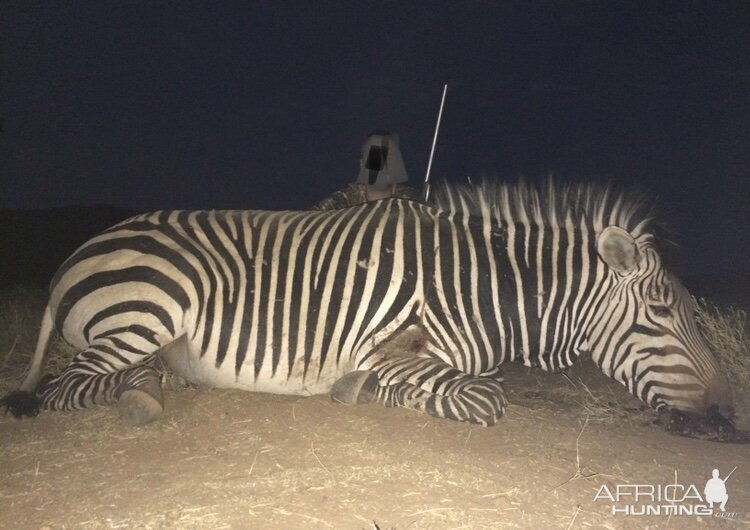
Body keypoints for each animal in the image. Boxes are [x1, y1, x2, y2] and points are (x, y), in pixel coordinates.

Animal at [0, 179, 740, 436]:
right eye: (662, 315)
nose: (727, 410)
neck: (482, 288)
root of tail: (77, 253)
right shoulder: (397, 345)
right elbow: (484, 397)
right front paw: (361, 389)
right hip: (153, 305)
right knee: (67, 385)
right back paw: (140, 395)